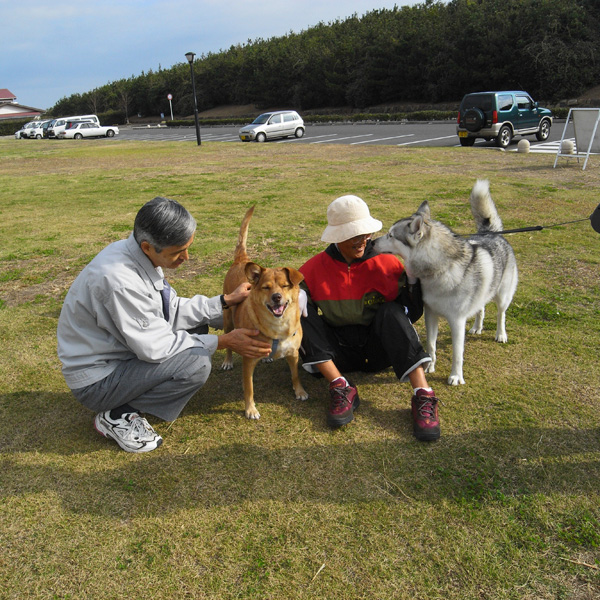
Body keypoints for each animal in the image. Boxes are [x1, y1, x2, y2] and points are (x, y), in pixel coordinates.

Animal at [224, 205, 310, 418]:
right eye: (266, 287)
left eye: (285, 285)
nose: (277, 297)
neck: (277, 327)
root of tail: (241, 260)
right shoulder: (248, 361)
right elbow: (249, 388)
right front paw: (250, 409)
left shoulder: (294, 354)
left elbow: (295, 375)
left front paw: (300, 391)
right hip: (228, 321)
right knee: (228, 342)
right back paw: (228, 361)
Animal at [372, 179, 516, 384]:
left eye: (391, 235)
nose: (372, 242)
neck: (438, 270)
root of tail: (491, 232)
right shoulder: (431, 314)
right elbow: (431, 345)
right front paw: (429, 367)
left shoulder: (457, 321)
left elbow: (457, 353)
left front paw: (456, 376)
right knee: (480, 308)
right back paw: (476, 327)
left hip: (503, 296)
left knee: (500, 314)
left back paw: (500, 334)